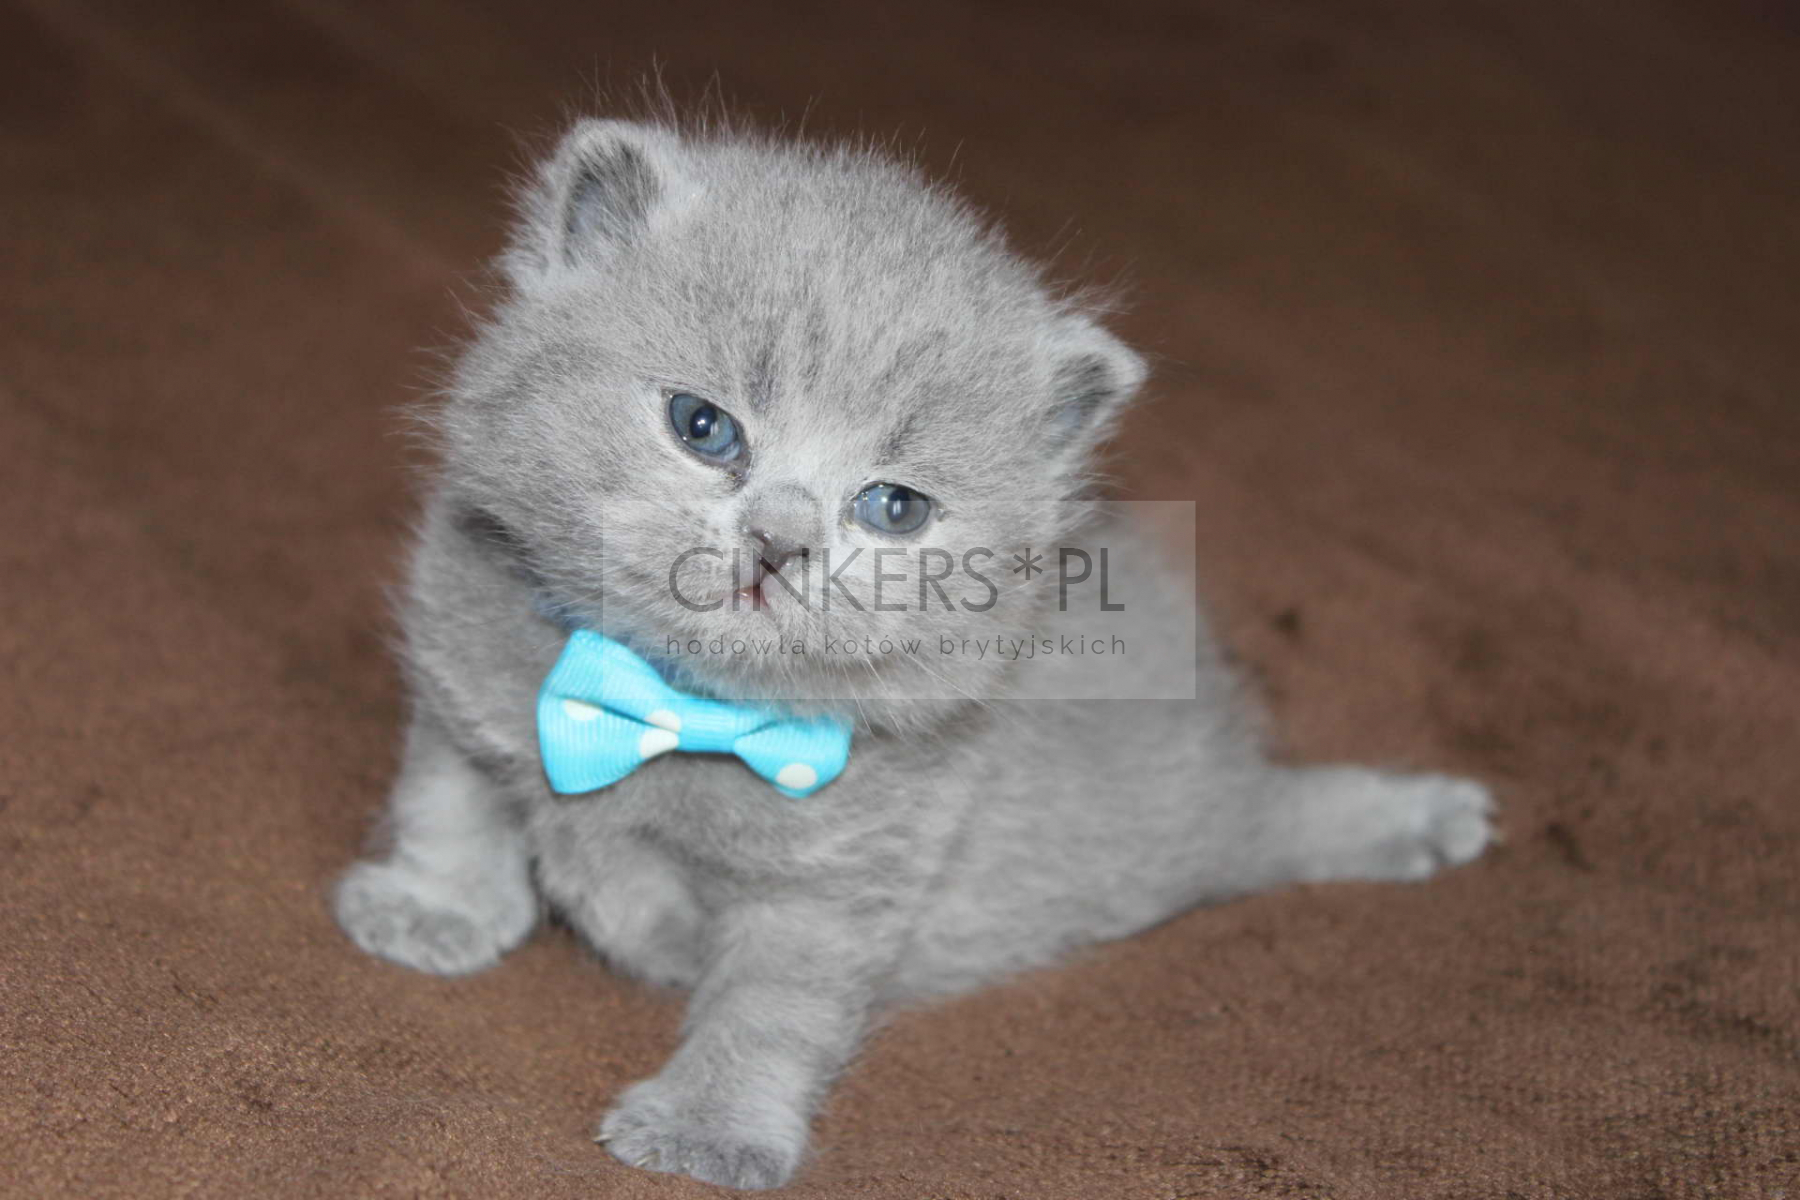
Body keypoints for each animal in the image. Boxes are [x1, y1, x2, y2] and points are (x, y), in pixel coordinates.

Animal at [332, 116, 1494, 1190]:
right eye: (702, 426)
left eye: (893, 508)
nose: (780, 542)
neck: (675, 705)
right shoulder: (459, 689)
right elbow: (449, 798)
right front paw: (434, 907)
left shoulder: (838, 880)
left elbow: (771, 1006)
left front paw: (708, 1128)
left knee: (1270, 821)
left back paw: (1422, 820)